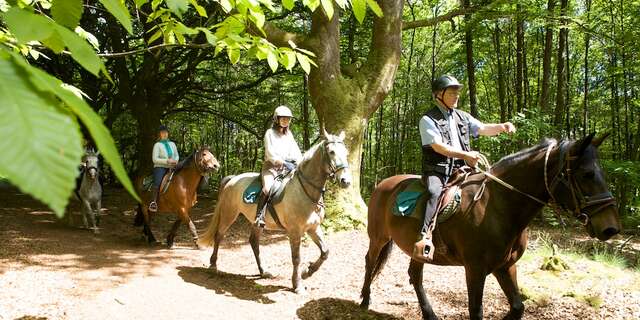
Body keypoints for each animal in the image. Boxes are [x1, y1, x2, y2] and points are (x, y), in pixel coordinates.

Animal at [362, 133, 624, 320]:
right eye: (586, 174)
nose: (611, 228)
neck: (498, 205)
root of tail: (383, 184)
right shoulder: (475, 270)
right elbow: (476, 311)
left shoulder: (505, 267)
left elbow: (518, 307)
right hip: (378, 238)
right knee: (370, 262)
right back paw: (365, 299)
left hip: (418, 250)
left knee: (415, 276)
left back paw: (429, 314)